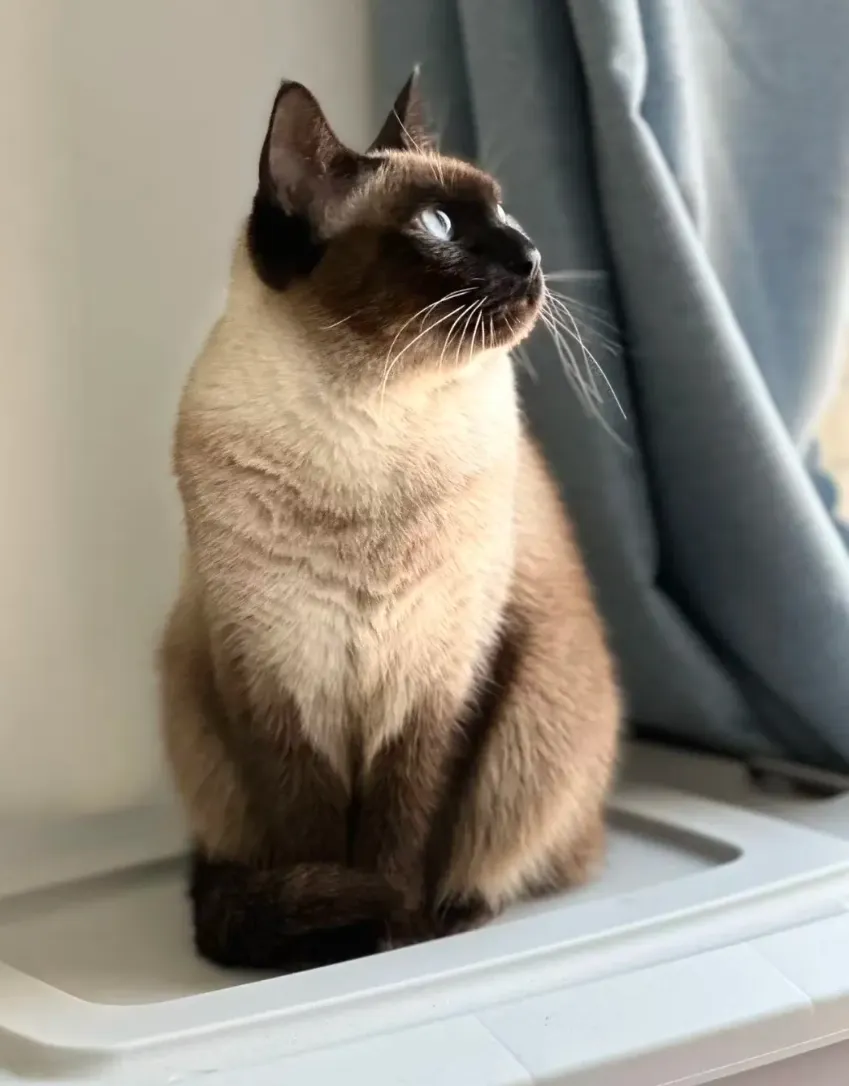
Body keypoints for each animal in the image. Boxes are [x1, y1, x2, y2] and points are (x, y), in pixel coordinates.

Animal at [160, 70, 621, 970]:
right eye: (438, 225)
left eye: (505, 213)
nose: (531, 255)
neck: (368, 421)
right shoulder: (276, 680)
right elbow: (313, 837)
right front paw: (335, 949)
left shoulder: (440, 680)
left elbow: (404, 834)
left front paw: (398, 938)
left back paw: (460, 911)